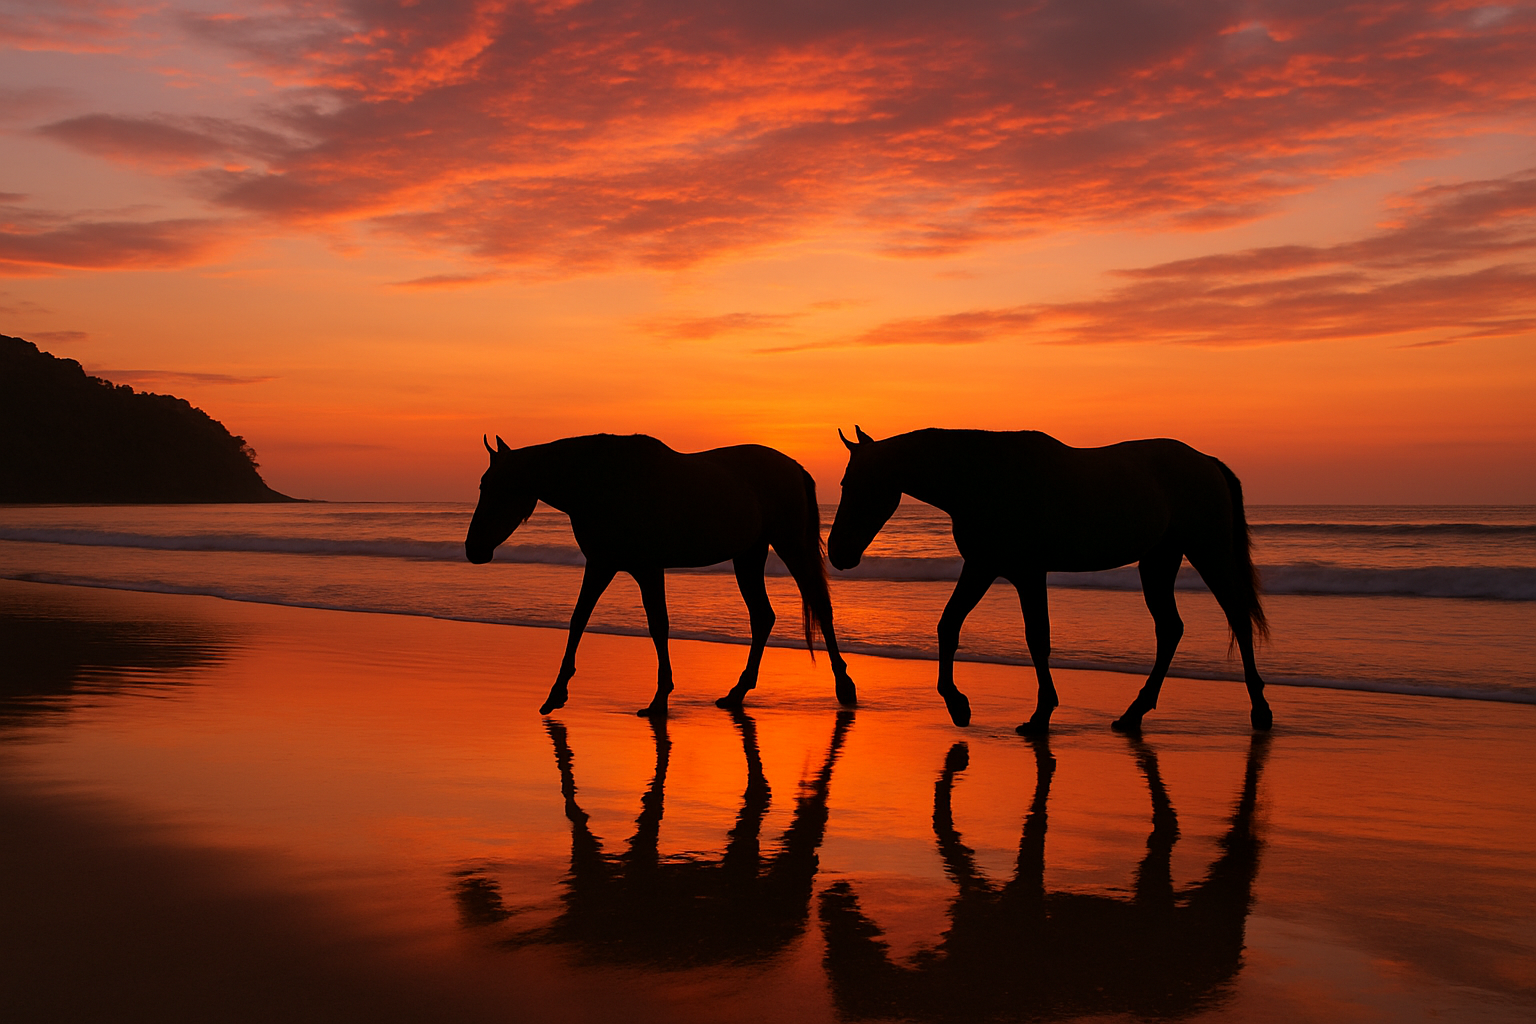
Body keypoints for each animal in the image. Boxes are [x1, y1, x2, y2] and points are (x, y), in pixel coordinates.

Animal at [465, 433, 855, 716]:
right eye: (483, 485)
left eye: (493, 488)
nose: (472, 549)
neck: (604, 483)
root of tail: (794, 467)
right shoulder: (601, 565)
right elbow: (578, 620)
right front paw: (556, 694)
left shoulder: (648, 569)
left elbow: (658, 626)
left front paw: (659, 700)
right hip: (749, 555)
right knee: (763, 617)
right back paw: (737, 693)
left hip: (790, 545)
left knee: (819, 605)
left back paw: (844, 686)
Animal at [826, 427, 1271, 734]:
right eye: (845, 484)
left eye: (857, 484)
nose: (837, 552)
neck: (984, 479)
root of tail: (1207, 461)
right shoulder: (982, 566)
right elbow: (949, 626)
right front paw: (958, 705)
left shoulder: (1026, 572)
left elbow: (1037, 638)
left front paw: (1040, 716)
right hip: (1159, 560)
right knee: (1170, 629)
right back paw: (1133, 714)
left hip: (1208, 552)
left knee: (1236, 616)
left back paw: (1259, 709)